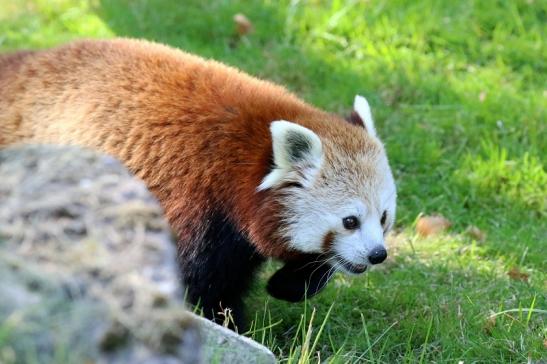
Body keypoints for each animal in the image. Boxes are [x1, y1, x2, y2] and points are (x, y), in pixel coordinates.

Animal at [2, 38, 400, 328]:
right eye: (349, 221)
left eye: (383, 218)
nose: (377, 255)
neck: (248, 159)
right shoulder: (195, 201)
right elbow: (202, 283)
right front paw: (229, 325)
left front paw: (291, 283)